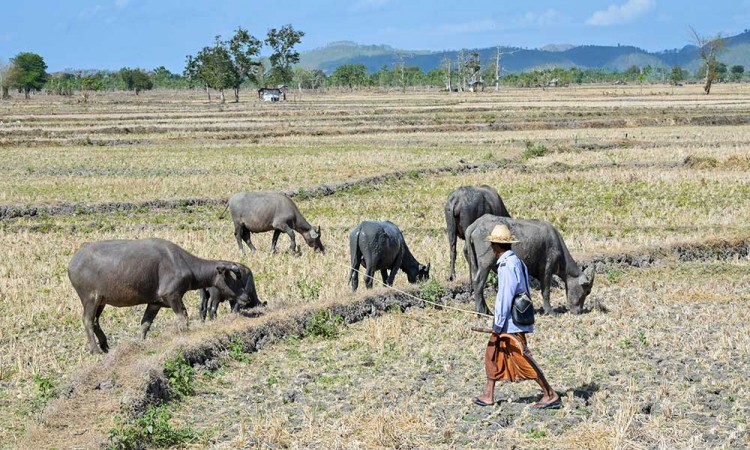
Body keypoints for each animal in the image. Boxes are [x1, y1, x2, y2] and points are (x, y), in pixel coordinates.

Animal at [68, 237, 262, 354]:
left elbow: (145, 324)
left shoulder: (155, 303)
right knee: (87, 320)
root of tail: (73, 262)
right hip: (90, 298)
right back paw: (95, 349)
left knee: (95, 321)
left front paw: (140, 343)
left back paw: (105, 345)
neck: (184, 264)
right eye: (235, 279)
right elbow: (183, 316)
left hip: (101, 301)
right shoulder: (173, 296)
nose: (246, 298)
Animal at [468, 215, 596, 314]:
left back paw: (485, 310)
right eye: (587, 291)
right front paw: (550, 311)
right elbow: (546, 291)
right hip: (485, 263)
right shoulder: (546, 270)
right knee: (478, 283)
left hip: (474, 263)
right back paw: (481, 311)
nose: (579, 311)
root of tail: (476, 224)